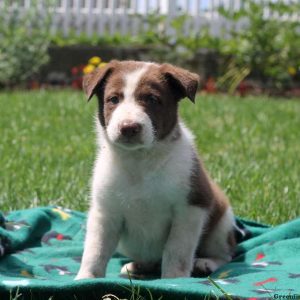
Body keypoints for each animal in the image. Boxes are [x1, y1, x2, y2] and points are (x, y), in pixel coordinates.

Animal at [75, 59, 234, 280]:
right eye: (113, 99)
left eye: (152, 99)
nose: (129, 127)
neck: (140, 160)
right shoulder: (105, 212)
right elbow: (95, 250)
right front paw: (86, 278)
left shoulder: (190, 208)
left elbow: (176, 251)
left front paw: (173, 280)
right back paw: (137, 267)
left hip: (222, 223)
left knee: (226, 254)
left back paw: (205, 263)